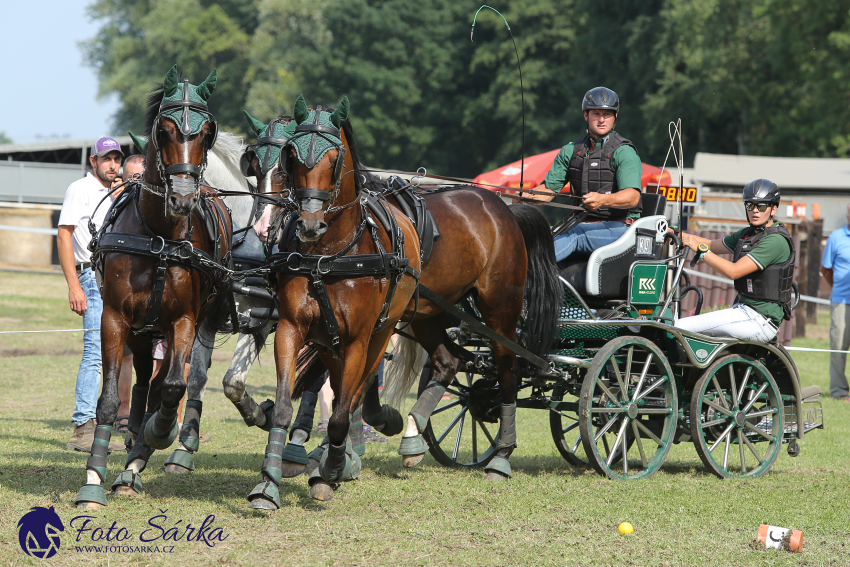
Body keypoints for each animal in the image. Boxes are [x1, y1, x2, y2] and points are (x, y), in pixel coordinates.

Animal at [72, 65, 232, 510]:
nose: (182, 198)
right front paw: (93, 479)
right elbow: (110, 400)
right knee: (143, 380)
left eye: (207, 131)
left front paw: (158, 434)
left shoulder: (185, 321)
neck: (159, 236)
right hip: (142, 331)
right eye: (164, 129)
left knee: (163, 386)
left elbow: (174, 386)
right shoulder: (113, 319)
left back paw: (138, 457)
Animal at [242, 95, 420, 508]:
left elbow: (341, 412)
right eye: (293, 157)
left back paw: (344, 456)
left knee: (353, 395)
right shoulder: (292, 329)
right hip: (326, 341)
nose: (309, 224)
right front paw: (268, 482)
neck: (331, 254)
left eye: (334, 158)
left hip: (381, 333)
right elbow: (284, 407)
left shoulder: (357, 339)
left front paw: (332, 472)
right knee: (338, 388)